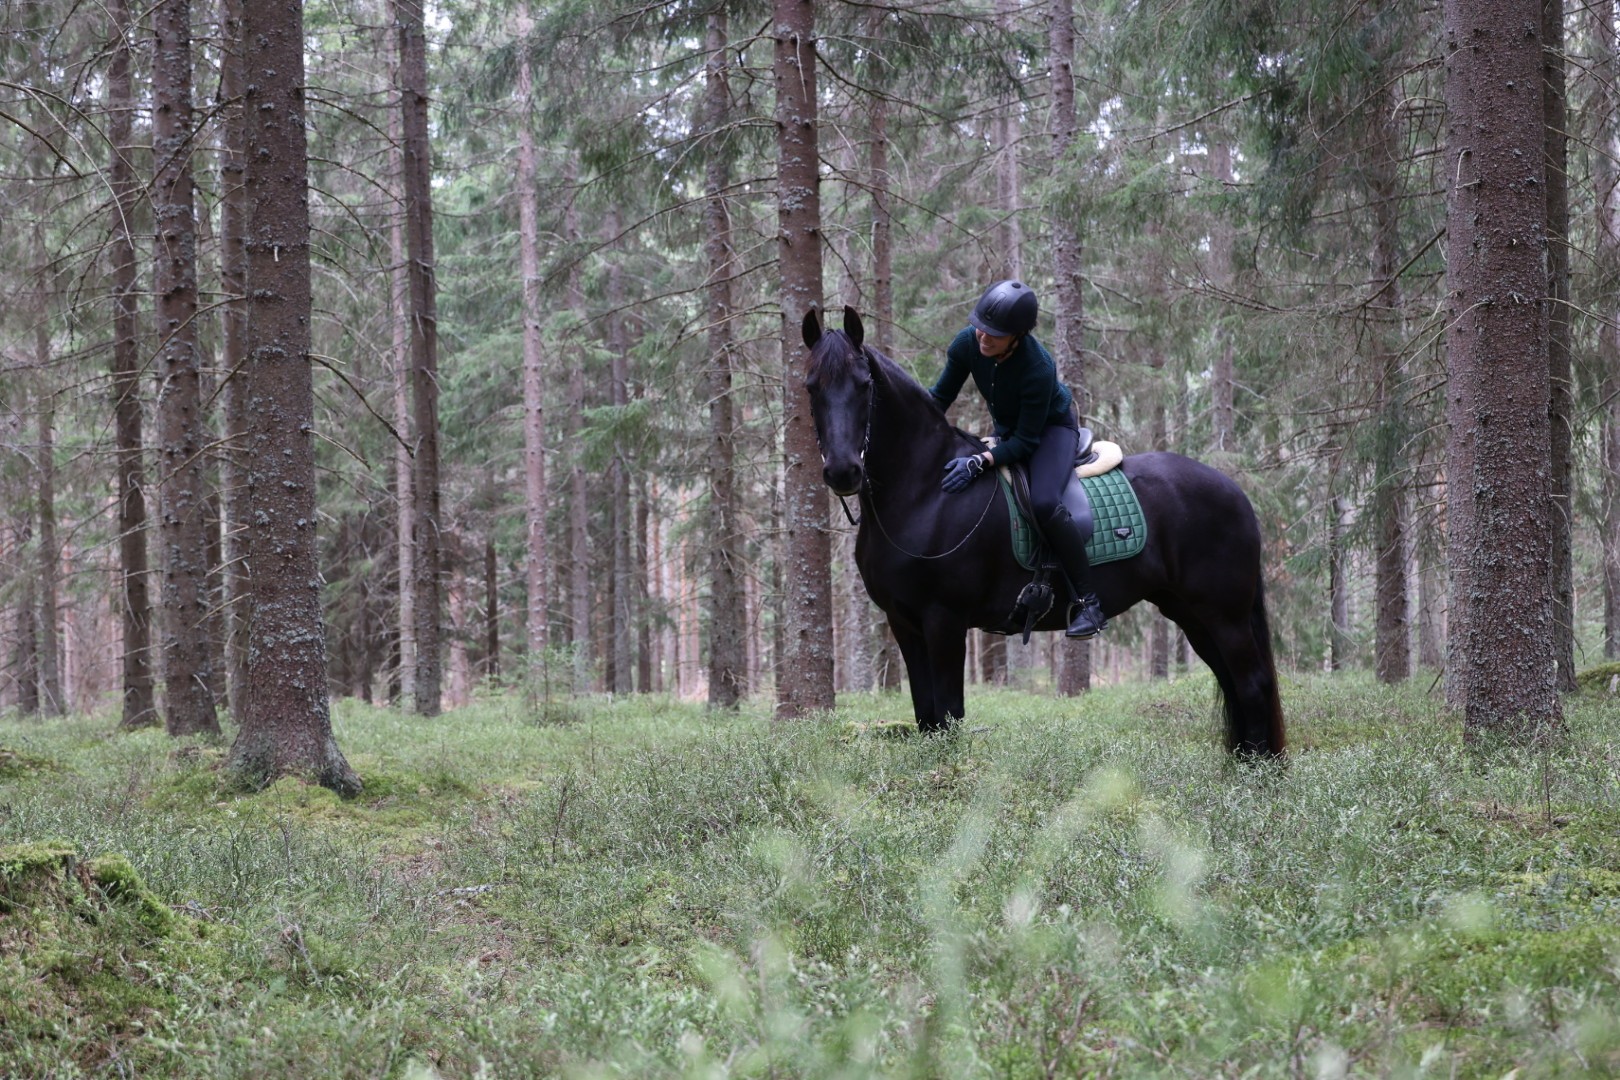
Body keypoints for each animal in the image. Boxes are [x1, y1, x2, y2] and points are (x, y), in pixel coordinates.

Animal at [803, 306, 1286, 757]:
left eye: (864, 384)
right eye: (811, 386)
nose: (843, 471)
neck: (925, 491)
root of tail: (1235, 492)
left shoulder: (944, 620)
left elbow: (949, 715)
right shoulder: (904, 623)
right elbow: (927, 716)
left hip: (1224, 613)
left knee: (1251, 684)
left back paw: (1258, 774)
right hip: (1190, 612)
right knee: (1232, 681)